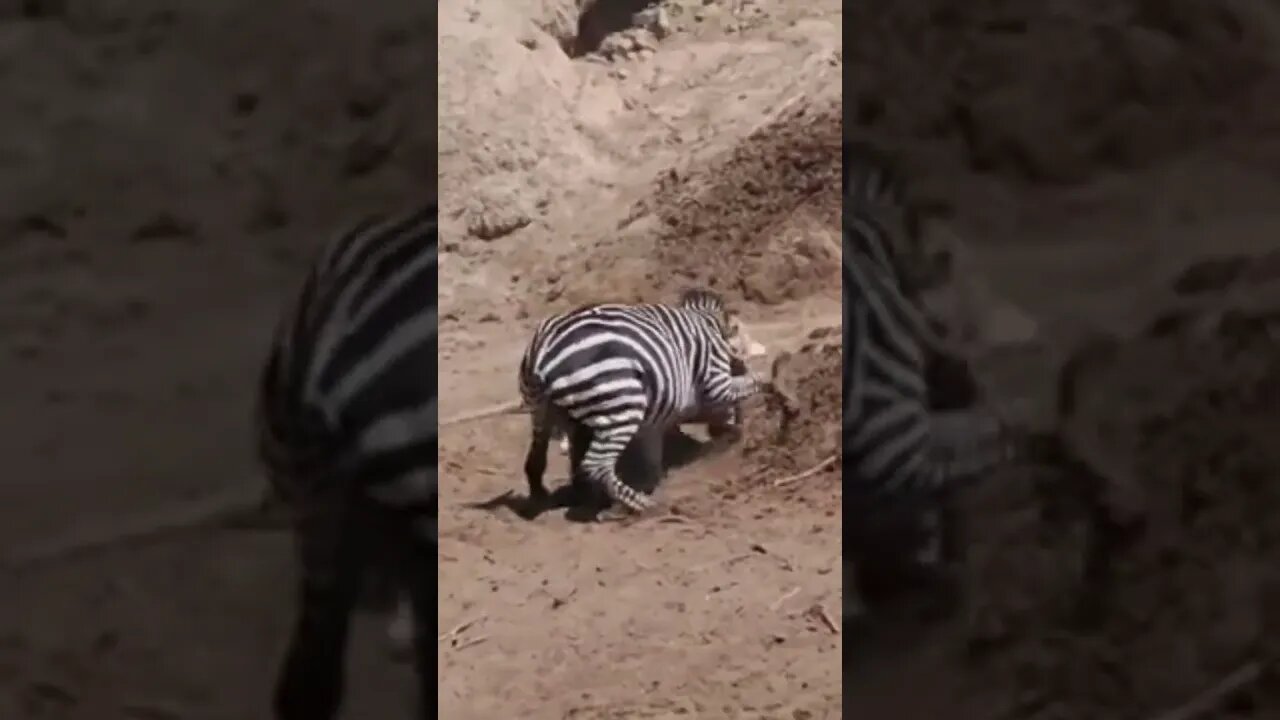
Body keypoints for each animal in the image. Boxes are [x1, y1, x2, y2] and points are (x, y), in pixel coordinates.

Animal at [517, 286, 757, 515]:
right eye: (737, 365)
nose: (727, 438)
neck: (709, 325)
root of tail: (543, 352)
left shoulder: (656, 419)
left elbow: (652, 459)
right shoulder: (715, 382)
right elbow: (752, 384)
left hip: (542, 410)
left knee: (538, 460)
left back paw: (551, 497)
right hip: (621, 404)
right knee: (596, 465)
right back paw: (640, 506)